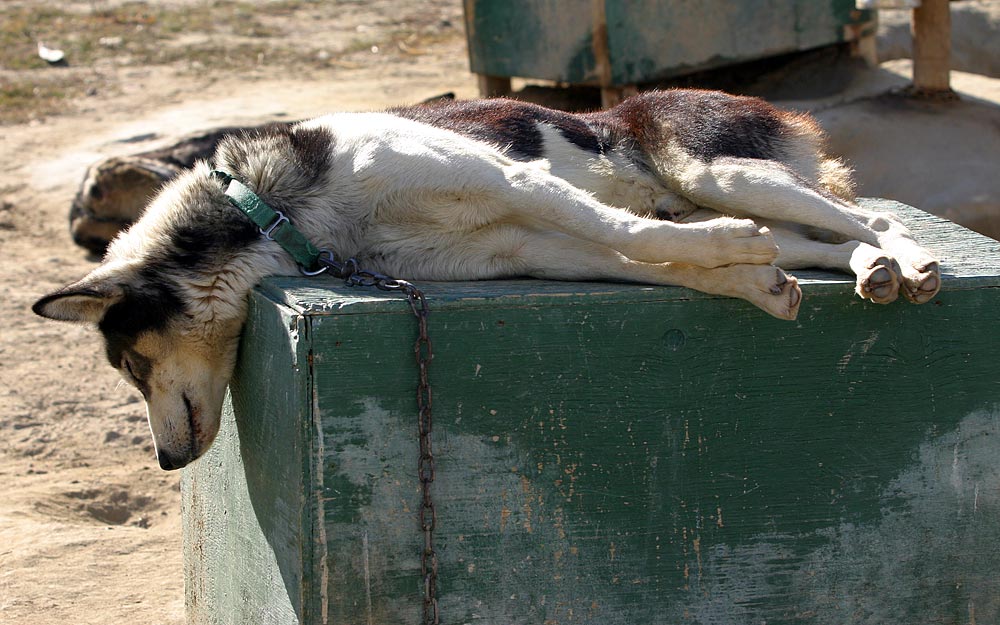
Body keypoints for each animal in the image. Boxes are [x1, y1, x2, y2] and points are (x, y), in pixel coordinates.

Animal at [29, 91, 936, 468]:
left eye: (131, 364)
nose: (165, 465)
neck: (282, 208)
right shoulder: (527, 243)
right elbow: (657, 263)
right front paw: (749, 283)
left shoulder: (519, 184)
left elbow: (630, 233)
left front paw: (732, 255)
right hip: (720, 189)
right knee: (817, 240)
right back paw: (868, 271)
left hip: (717, 171)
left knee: (861, 214)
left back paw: (910, 257)